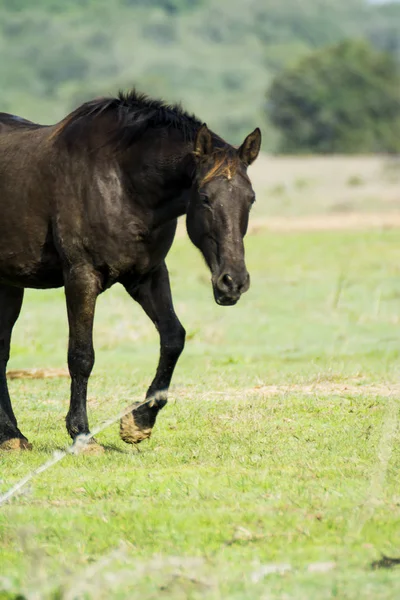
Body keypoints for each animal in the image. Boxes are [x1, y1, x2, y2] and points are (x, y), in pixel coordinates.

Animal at [0, 91, 260, 452]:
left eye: (250, 199)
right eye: (205, 197)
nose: (233, 282)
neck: (123, 184)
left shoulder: (148, 276)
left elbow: (173, 338)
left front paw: (139, 422)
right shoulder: (81, 276)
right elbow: (81, 356)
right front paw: (82, 434)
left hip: (11, 286)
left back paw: (12, 435)